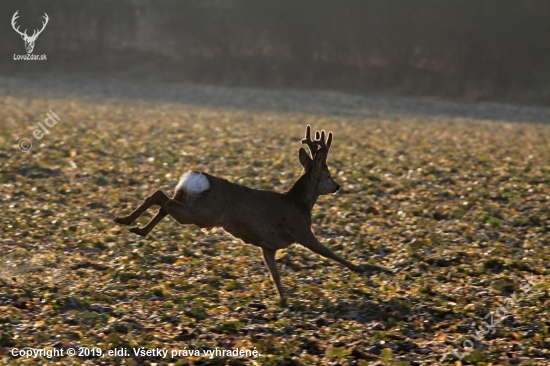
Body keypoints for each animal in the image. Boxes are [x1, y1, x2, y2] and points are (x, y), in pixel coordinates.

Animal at [114, 126, 364, 304]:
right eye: (328, 174)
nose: (337, 186)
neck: (300, 202)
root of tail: (195, 178)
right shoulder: (301, 230)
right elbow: (328, 252)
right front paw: (358, 268)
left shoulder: (267, 246)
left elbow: (275, 274)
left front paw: (284, 300)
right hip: (204, 214)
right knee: (165, 204)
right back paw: (139, 229)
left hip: (191, 205)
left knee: (158, 195)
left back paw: (126, 221)